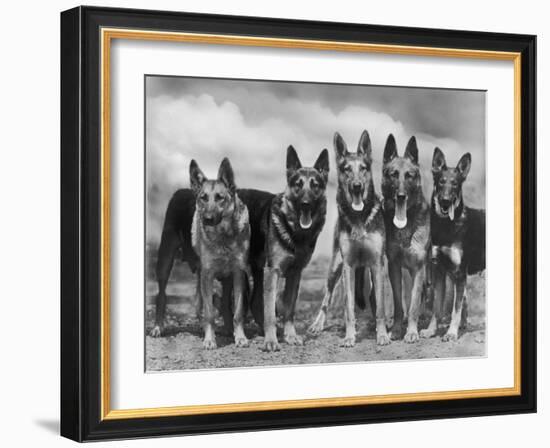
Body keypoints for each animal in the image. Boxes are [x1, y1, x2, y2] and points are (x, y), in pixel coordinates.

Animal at [189, 158, 251, 350]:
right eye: (203, 198)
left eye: (219, 198)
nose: (207, 219)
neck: (223, 237)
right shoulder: (207, 275)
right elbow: (209, 313)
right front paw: (209, 339)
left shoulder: (238, 274)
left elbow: (238, 311)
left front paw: (240, 337)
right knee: (202, 305)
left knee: (225, 306)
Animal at [308, 131, 390, 348]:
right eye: (347, 169)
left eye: (363, 168)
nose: (357, 187)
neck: (359, 216)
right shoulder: (348, 266)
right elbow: (348, 306)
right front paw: (349, 336)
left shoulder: (377, 264)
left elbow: (380, 306)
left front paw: (382, 334)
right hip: (335, 268)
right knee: (327, 298)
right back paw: (317, 324)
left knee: (373, 298)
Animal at [424, 149, 486, 342]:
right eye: (441, 182)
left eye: (455, 184)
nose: (445, 201)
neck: (447, 226)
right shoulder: (439, 270)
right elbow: (437, 307)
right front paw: (431, 330)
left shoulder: (459, 274)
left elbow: (455, 310)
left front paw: (451, 333)